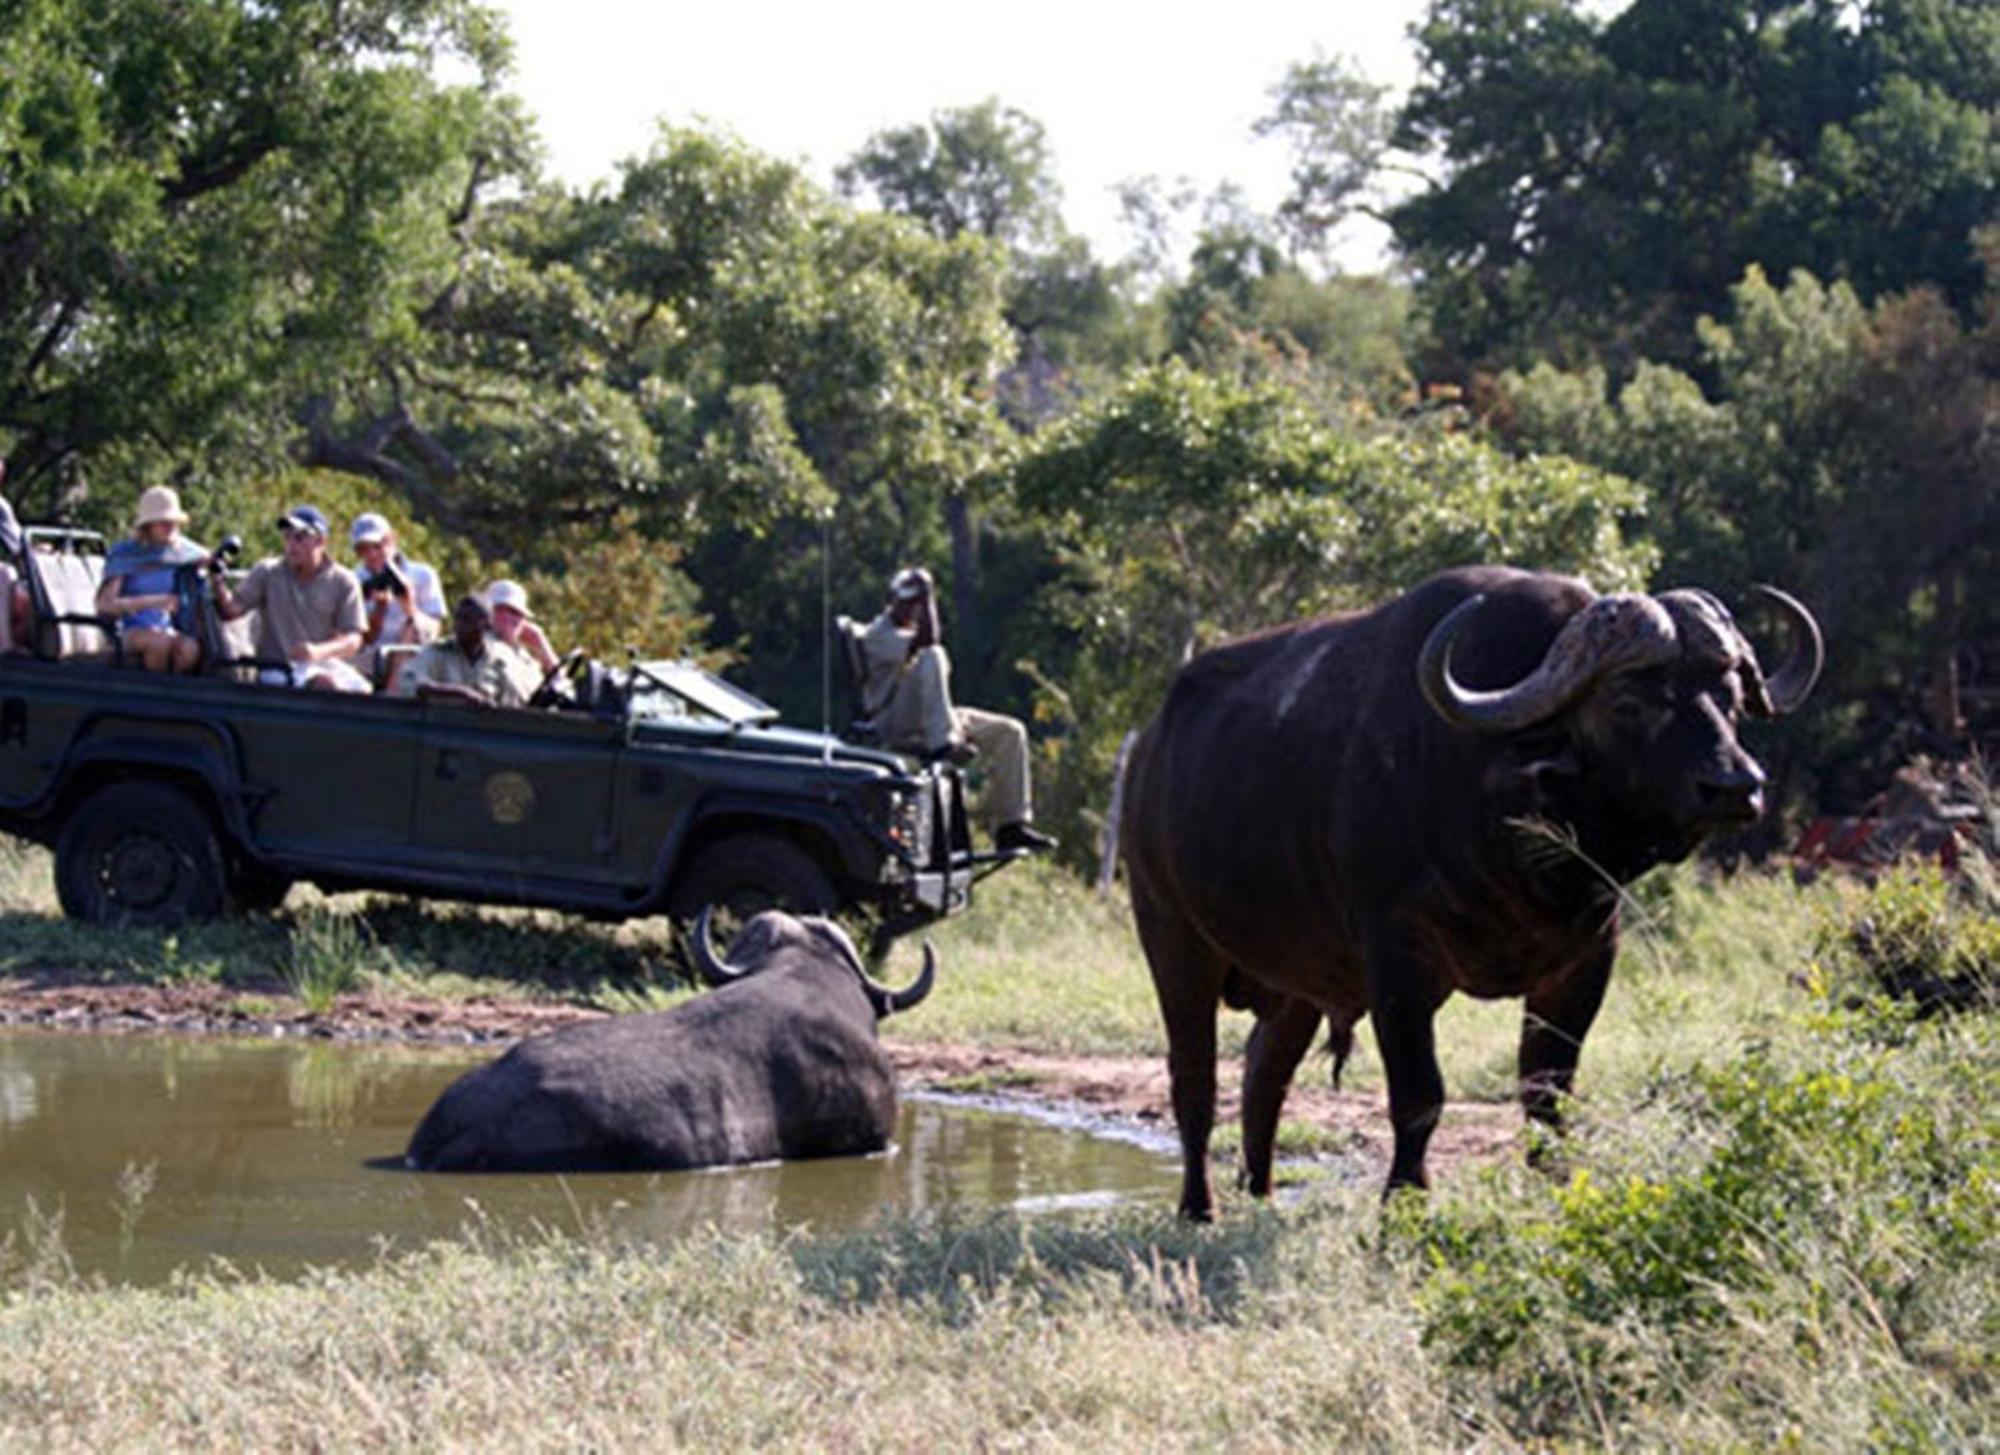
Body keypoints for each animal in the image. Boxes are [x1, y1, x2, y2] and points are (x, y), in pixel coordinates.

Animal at [1128, 567, 1832, 1215]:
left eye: (1730, 697)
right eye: (1628, 702)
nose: (1735, 786)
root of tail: (1148, 748)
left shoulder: (1584, 962)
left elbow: (1547, 1091)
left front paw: (1557, 1191)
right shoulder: (1398, 963)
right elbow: (1419, 1095)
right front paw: (1403, 1206)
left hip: (1298, 978)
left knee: (1263, 1071)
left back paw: (1261, 1191)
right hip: (1173, 938)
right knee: (1193, 1078)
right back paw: (1198, 1207)